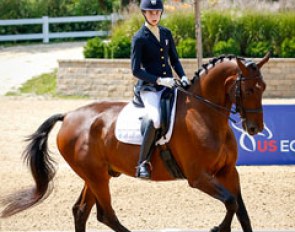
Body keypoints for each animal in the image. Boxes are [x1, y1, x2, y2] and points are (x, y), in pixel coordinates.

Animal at [0, 53, 270, 232]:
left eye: (264, 88)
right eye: (248, 90)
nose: (254, 129)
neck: (204, 114)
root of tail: (67, 116)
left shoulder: (229, 172)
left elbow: (241, 211)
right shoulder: (199, 177)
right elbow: (231, 202)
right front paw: (218, 229)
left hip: (96, 175)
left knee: (81, 211)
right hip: (96, 176)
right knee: (106, 215)